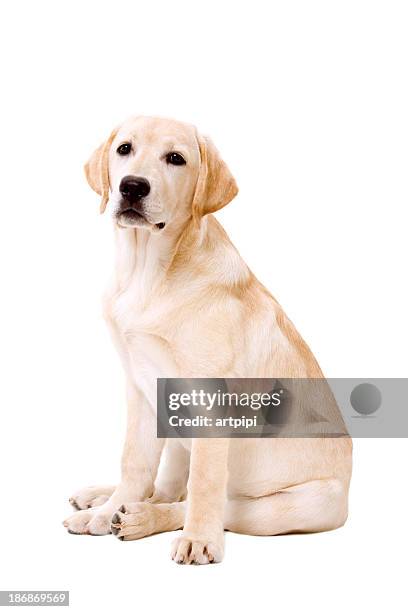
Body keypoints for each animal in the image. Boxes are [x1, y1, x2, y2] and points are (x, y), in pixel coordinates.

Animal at [63, 115, 350, 564]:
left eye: (175, 158)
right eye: (124, 149)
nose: (132, 186)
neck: (148, 270)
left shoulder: (212, 403)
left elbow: (204, 482)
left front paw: (198, 538)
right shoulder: (139, 388)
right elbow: (134, 462)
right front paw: (109, 509)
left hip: (295, 505)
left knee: (209, 502)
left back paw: (143, 517)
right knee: (165, 488)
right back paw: (105, 500)